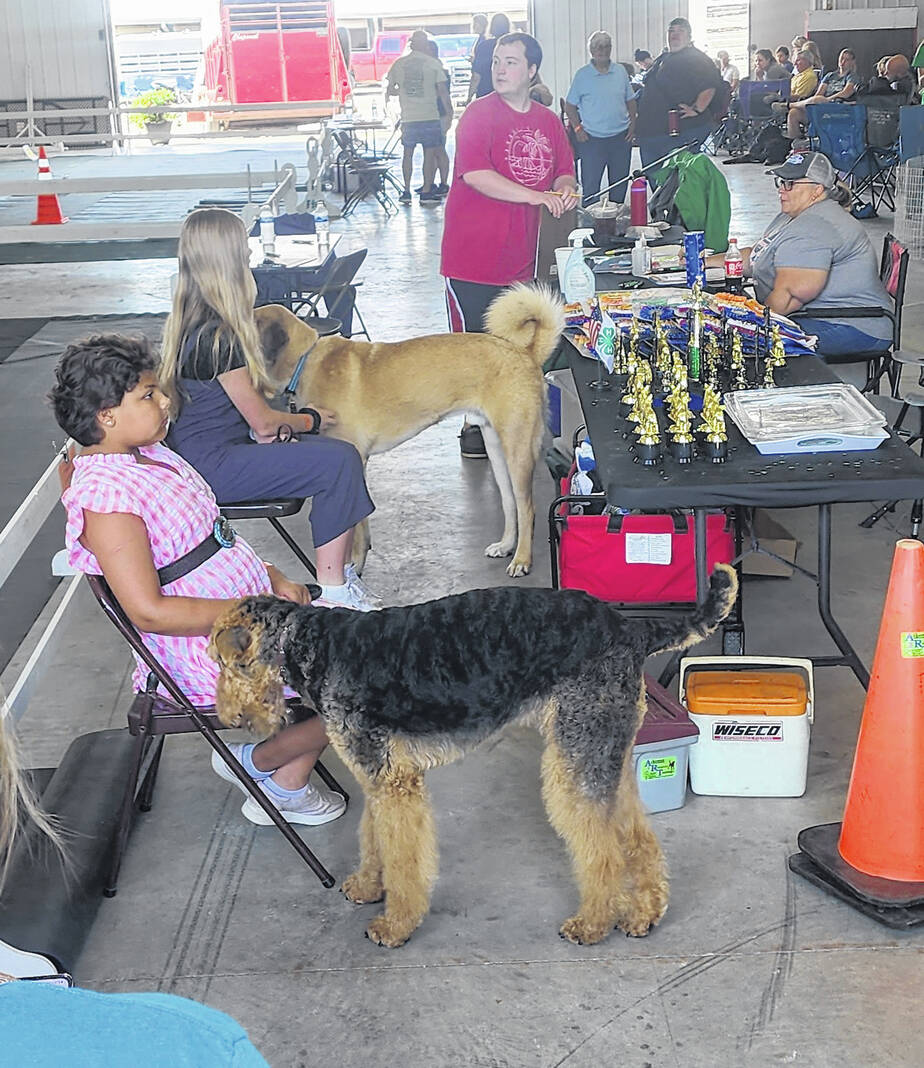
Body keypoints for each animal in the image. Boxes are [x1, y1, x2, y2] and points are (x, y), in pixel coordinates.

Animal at [207, 568, 734, 952]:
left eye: (221, 660)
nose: (230, 717)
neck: (309, 644)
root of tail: (630, 627)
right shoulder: (379, 778)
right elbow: (374, 839)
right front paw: (367, 885)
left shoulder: (392, 780)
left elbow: (402, 857)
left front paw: (394, 926)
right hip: (604, 753)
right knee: (636, 838)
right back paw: (644, 915)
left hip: (577, 758)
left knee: (601, 851)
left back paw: (592, 924)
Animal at [256, 284, 564, 576]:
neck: (306, 360)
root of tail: (525, 352)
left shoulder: (355, 462)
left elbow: (356, 527)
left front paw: (355, 564)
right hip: (497, 449)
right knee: (510, 503)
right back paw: (506, 546)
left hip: (517, 448)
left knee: (527, 508)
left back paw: (522, 560)